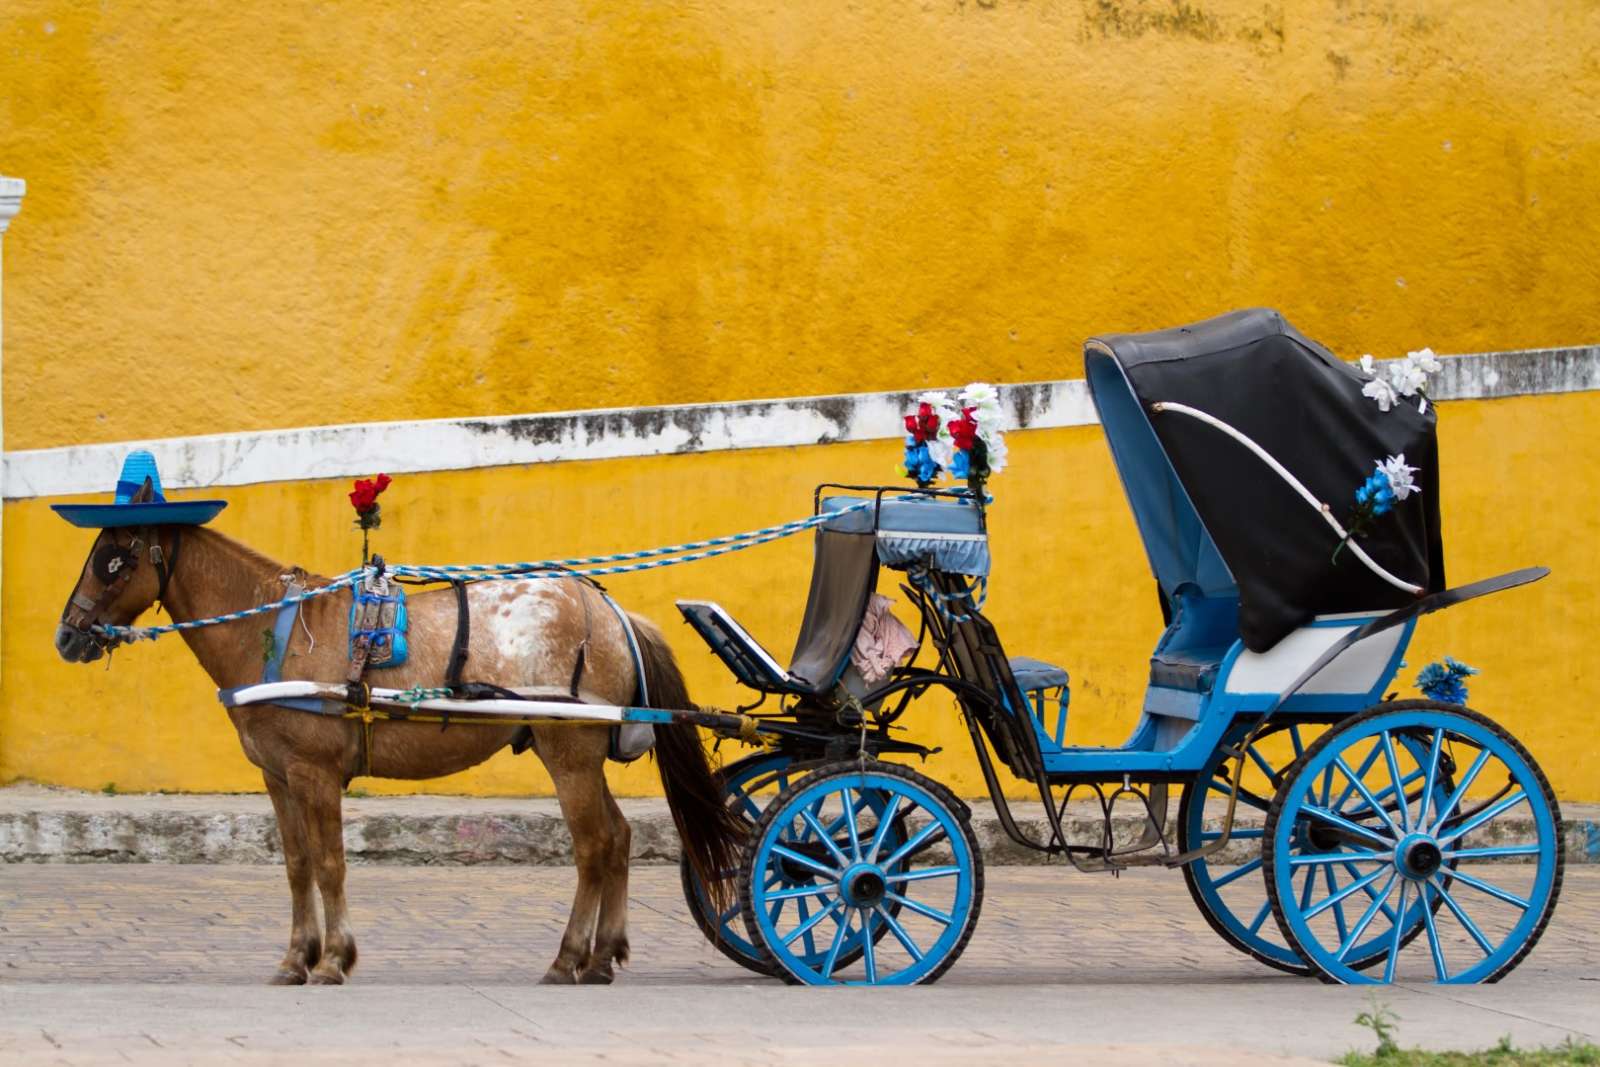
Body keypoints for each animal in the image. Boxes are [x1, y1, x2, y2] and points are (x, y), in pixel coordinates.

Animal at [54, 524, 742, 985]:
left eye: (113, 561)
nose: (66, 636)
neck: (272, 631)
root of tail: (611, 612)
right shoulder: (278, 775)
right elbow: (297, 866)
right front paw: (295, 959)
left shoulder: (314, 771)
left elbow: (330, 864)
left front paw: (334, 959)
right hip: (577, 749)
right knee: (619, 838)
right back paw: (602, 957)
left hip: (567, 748)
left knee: (594, 845)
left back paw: (569, 958)